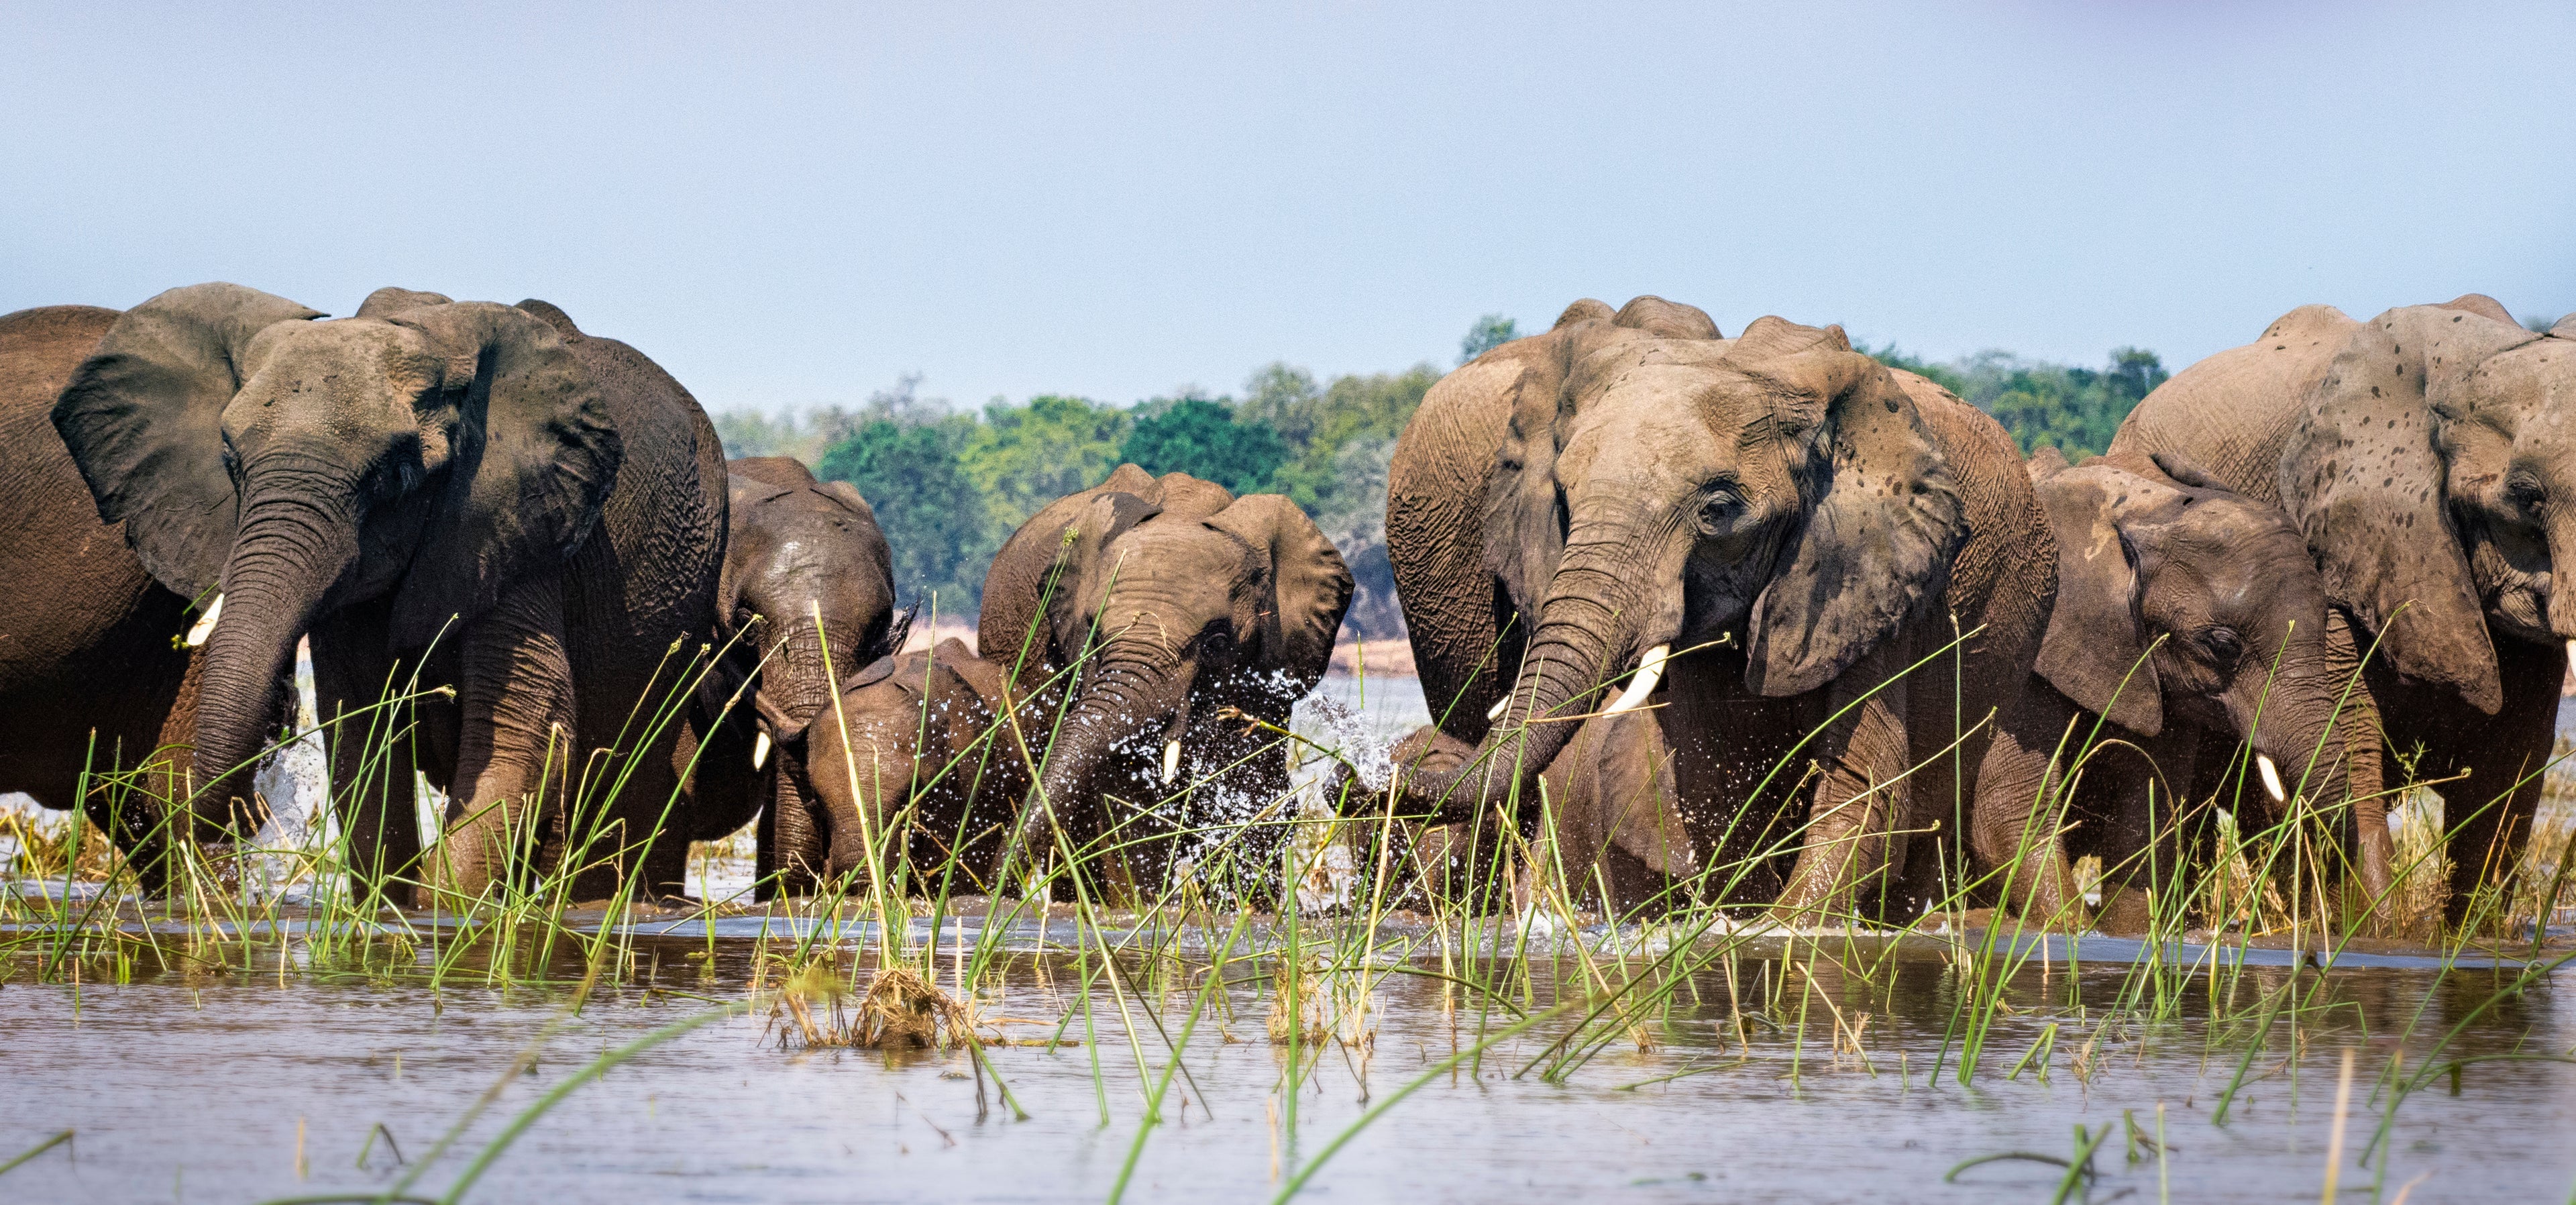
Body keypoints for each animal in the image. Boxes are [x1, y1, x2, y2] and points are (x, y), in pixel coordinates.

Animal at [50, 283, 728, 904]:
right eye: (230, 461)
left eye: (395, 474)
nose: (255, 813)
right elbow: (360, 725)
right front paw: (389, 914)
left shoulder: (516, 523)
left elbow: (527, 717)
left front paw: (445, 916)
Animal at [978, 465, 1354, 902]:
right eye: (1093, 634)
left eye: (1217, 643)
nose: (993, 892)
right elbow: (1132, 811)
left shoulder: (1269, 667)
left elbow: (1256, 796)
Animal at [1371, 297, 2057, 921]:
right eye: (1563, 497)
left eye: (1719, 510)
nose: (1358, 774)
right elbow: (1716, 784)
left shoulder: (1881, 569)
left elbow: (1863, 787)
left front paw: (1781, 935)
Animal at [1974, 453, 2359, 933]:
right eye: (2223, 646)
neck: (2147, 509)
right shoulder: (2026, 654)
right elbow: (2005, 819)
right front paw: (2071, 931)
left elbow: (2147, 827)